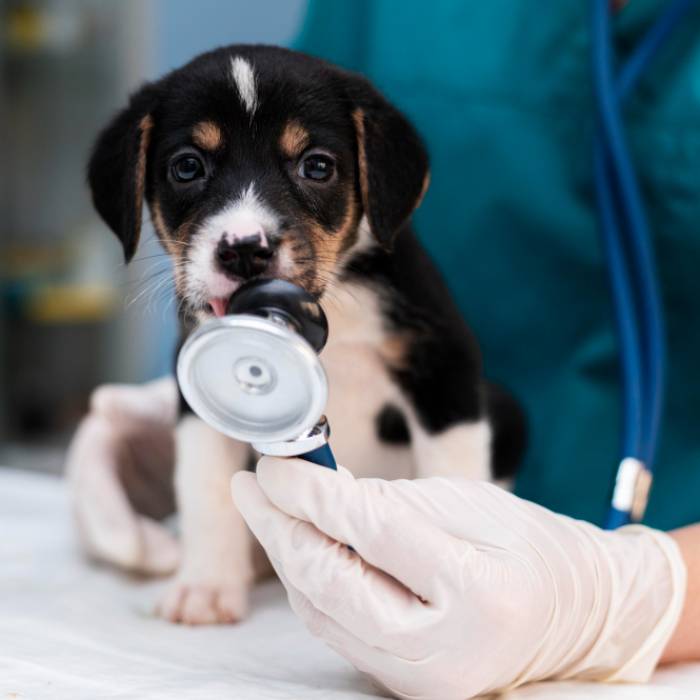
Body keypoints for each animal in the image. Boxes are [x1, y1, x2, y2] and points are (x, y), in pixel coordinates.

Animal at [87, 43, 524, 624]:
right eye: (187, 167)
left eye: (316, 165)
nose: (244, 250)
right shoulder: (195, 392)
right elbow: (206, 491)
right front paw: (206, 586)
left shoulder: (442, 367)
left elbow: (452, 478)